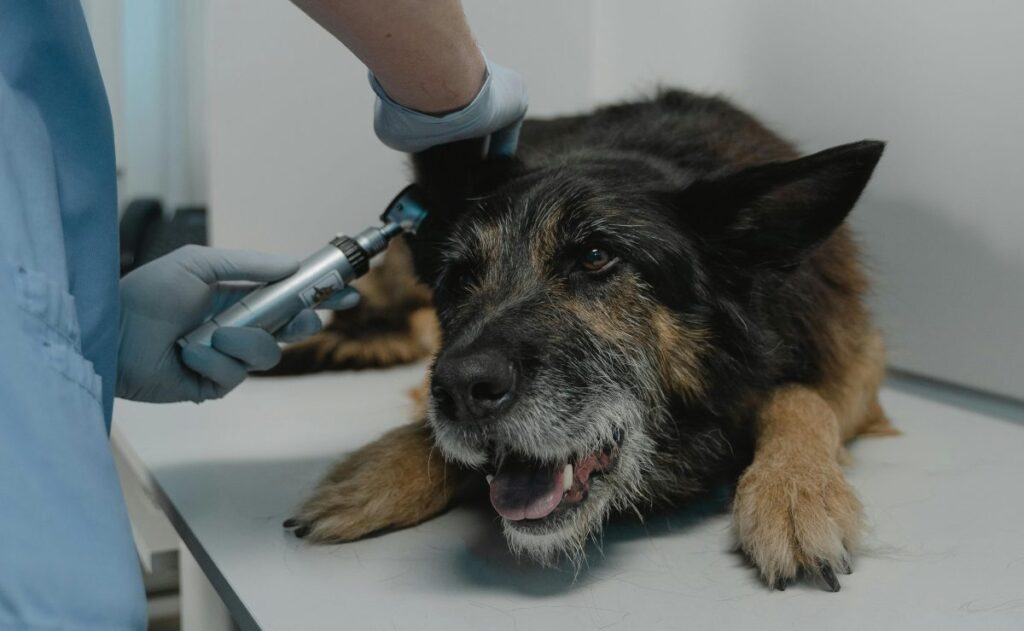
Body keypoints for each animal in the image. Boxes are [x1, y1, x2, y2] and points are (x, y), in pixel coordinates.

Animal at [280, 90, 897, 590]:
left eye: (597, 256)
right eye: (458, 277)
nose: (458, 390)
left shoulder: (856, 358)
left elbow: (801, 397)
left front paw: (795, 491)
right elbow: (431, 427)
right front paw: (383, 471)